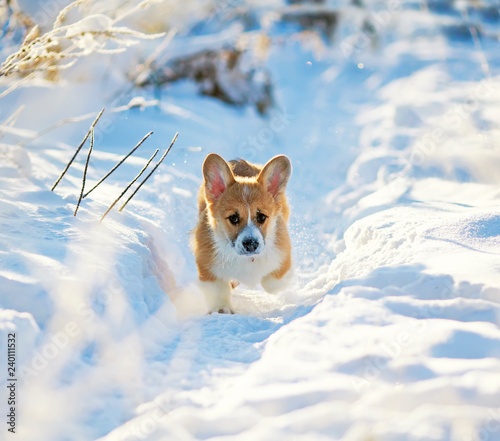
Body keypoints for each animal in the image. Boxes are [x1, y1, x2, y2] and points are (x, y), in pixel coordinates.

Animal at [192, 155, 292, 312]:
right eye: (233, 218)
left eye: (261, 217)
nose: (251, 244)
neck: (246, 259)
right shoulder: (207, 266)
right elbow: (219, 290)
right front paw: (222, 310)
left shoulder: (283, 254)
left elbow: (272, 283)